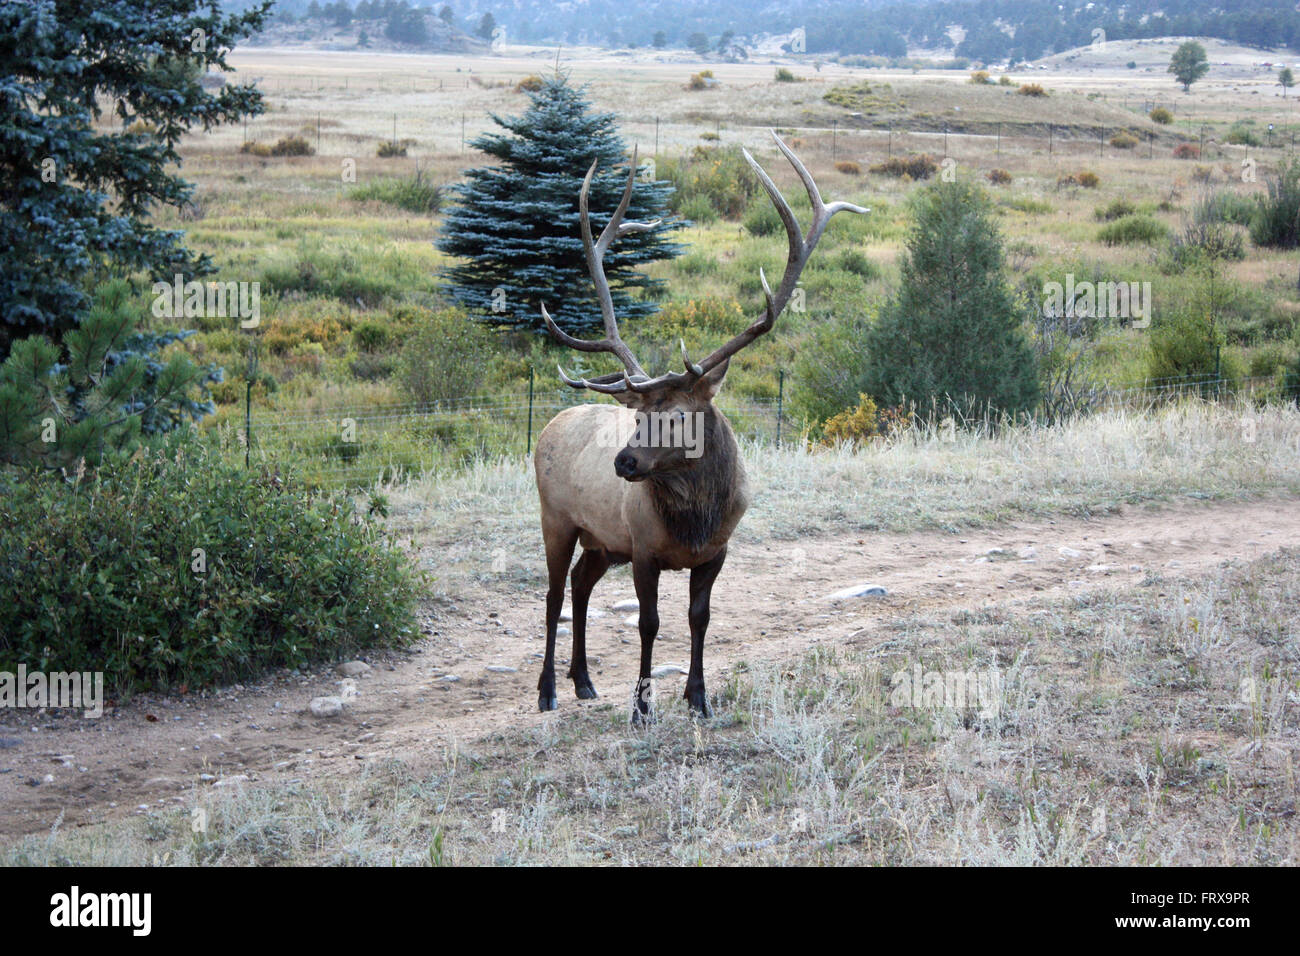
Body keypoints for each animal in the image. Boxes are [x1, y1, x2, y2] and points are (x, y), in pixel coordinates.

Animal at [533, 131, 867, 722]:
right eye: (640, 414)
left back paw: (584, 681)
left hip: (602, 542)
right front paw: (642, 707)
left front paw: (699, 697)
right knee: (553, 597)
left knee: (579, 585)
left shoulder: (717, 551)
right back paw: (548, 689)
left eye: (679, 415)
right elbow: (649, 624)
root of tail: (551, 423)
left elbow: (699, 619)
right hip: (557, 518)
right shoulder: (643, 549)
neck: (693, 522)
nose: (624, 461)